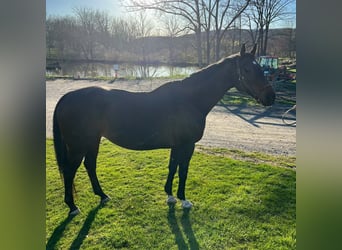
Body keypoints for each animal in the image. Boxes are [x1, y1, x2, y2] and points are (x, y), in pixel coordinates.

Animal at [54, 44, 276, 215]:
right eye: (246, 69)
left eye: (261, 68)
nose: (271, 97)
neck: (190, 100)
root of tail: (67, 97)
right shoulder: (187, 145)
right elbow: (183, 170)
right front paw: (183, 200)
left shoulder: (177, 145)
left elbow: (172, 167)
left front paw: (169, 195)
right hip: (78, 146)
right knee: (70, 171)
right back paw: (72, 207)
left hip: (93, 141)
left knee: (90, 166)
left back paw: (102, 196)